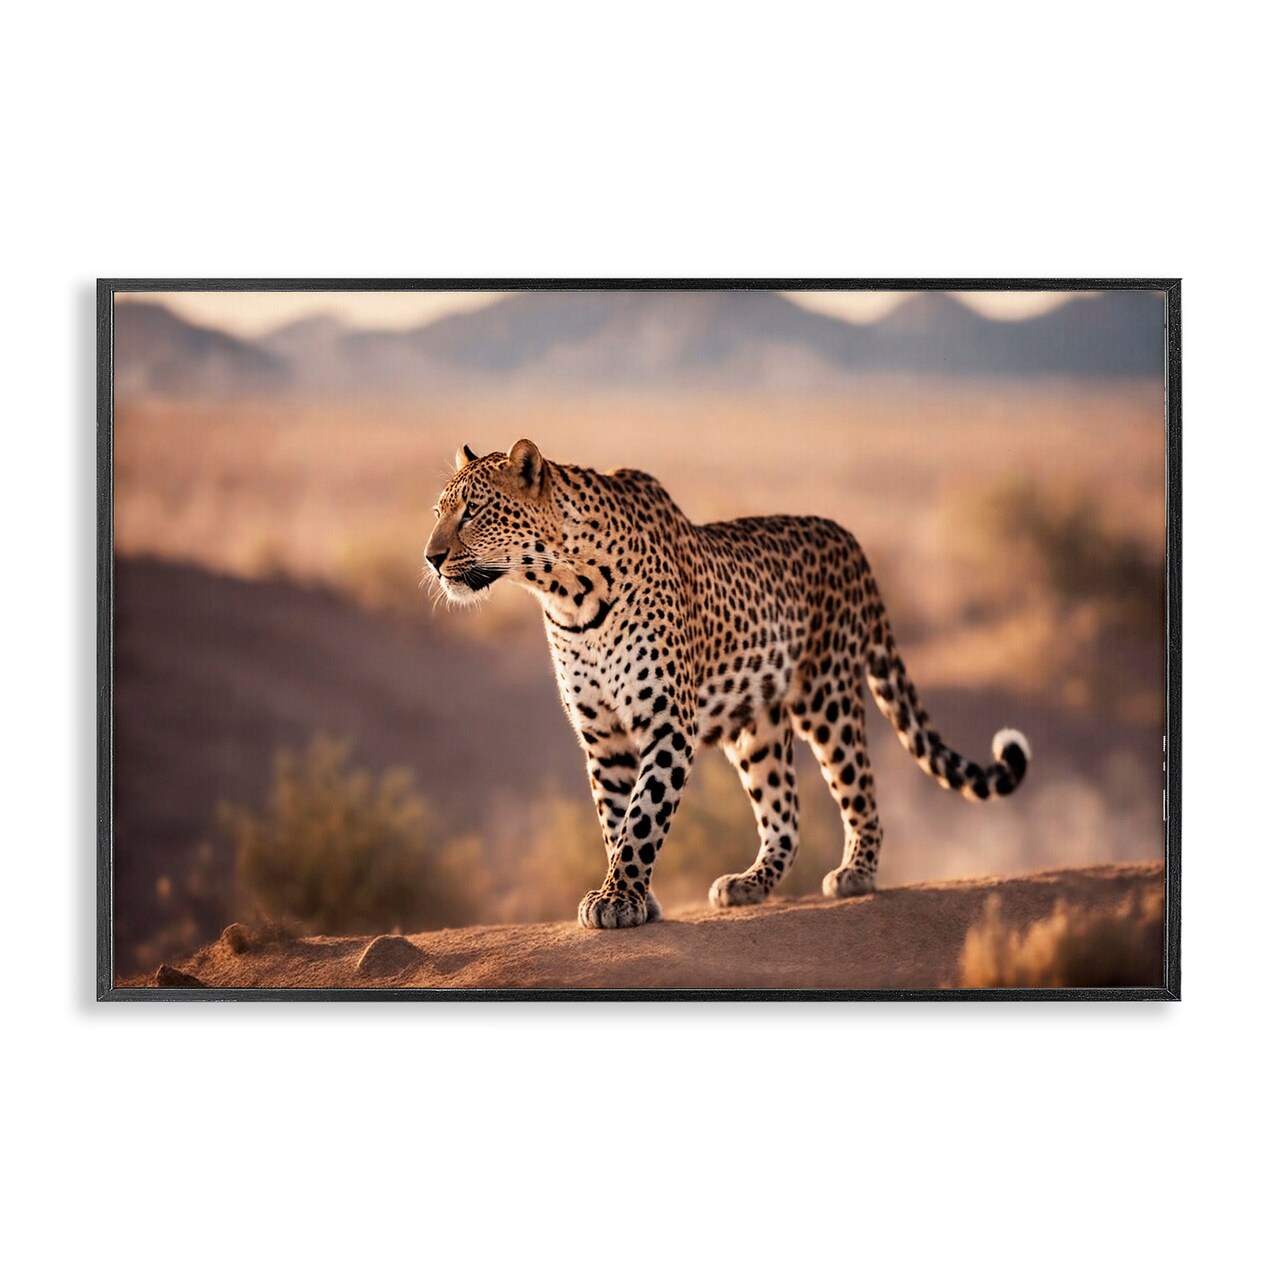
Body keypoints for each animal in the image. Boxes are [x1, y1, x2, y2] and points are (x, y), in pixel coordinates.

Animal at [424, 439, 1030, 929]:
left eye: (474, 511)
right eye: (438, 511)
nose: (430, 558)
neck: (564, 593)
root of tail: (850, 540)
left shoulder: (667, 724)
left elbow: (643, 816)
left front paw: (619, 899)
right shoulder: (604, 736)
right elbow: (615, 817)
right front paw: (634, 898)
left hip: (827, 696)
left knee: (859, 787)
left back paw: (856, 873)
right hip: (757, 729)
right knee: (785, 815)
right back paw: (749, 883)